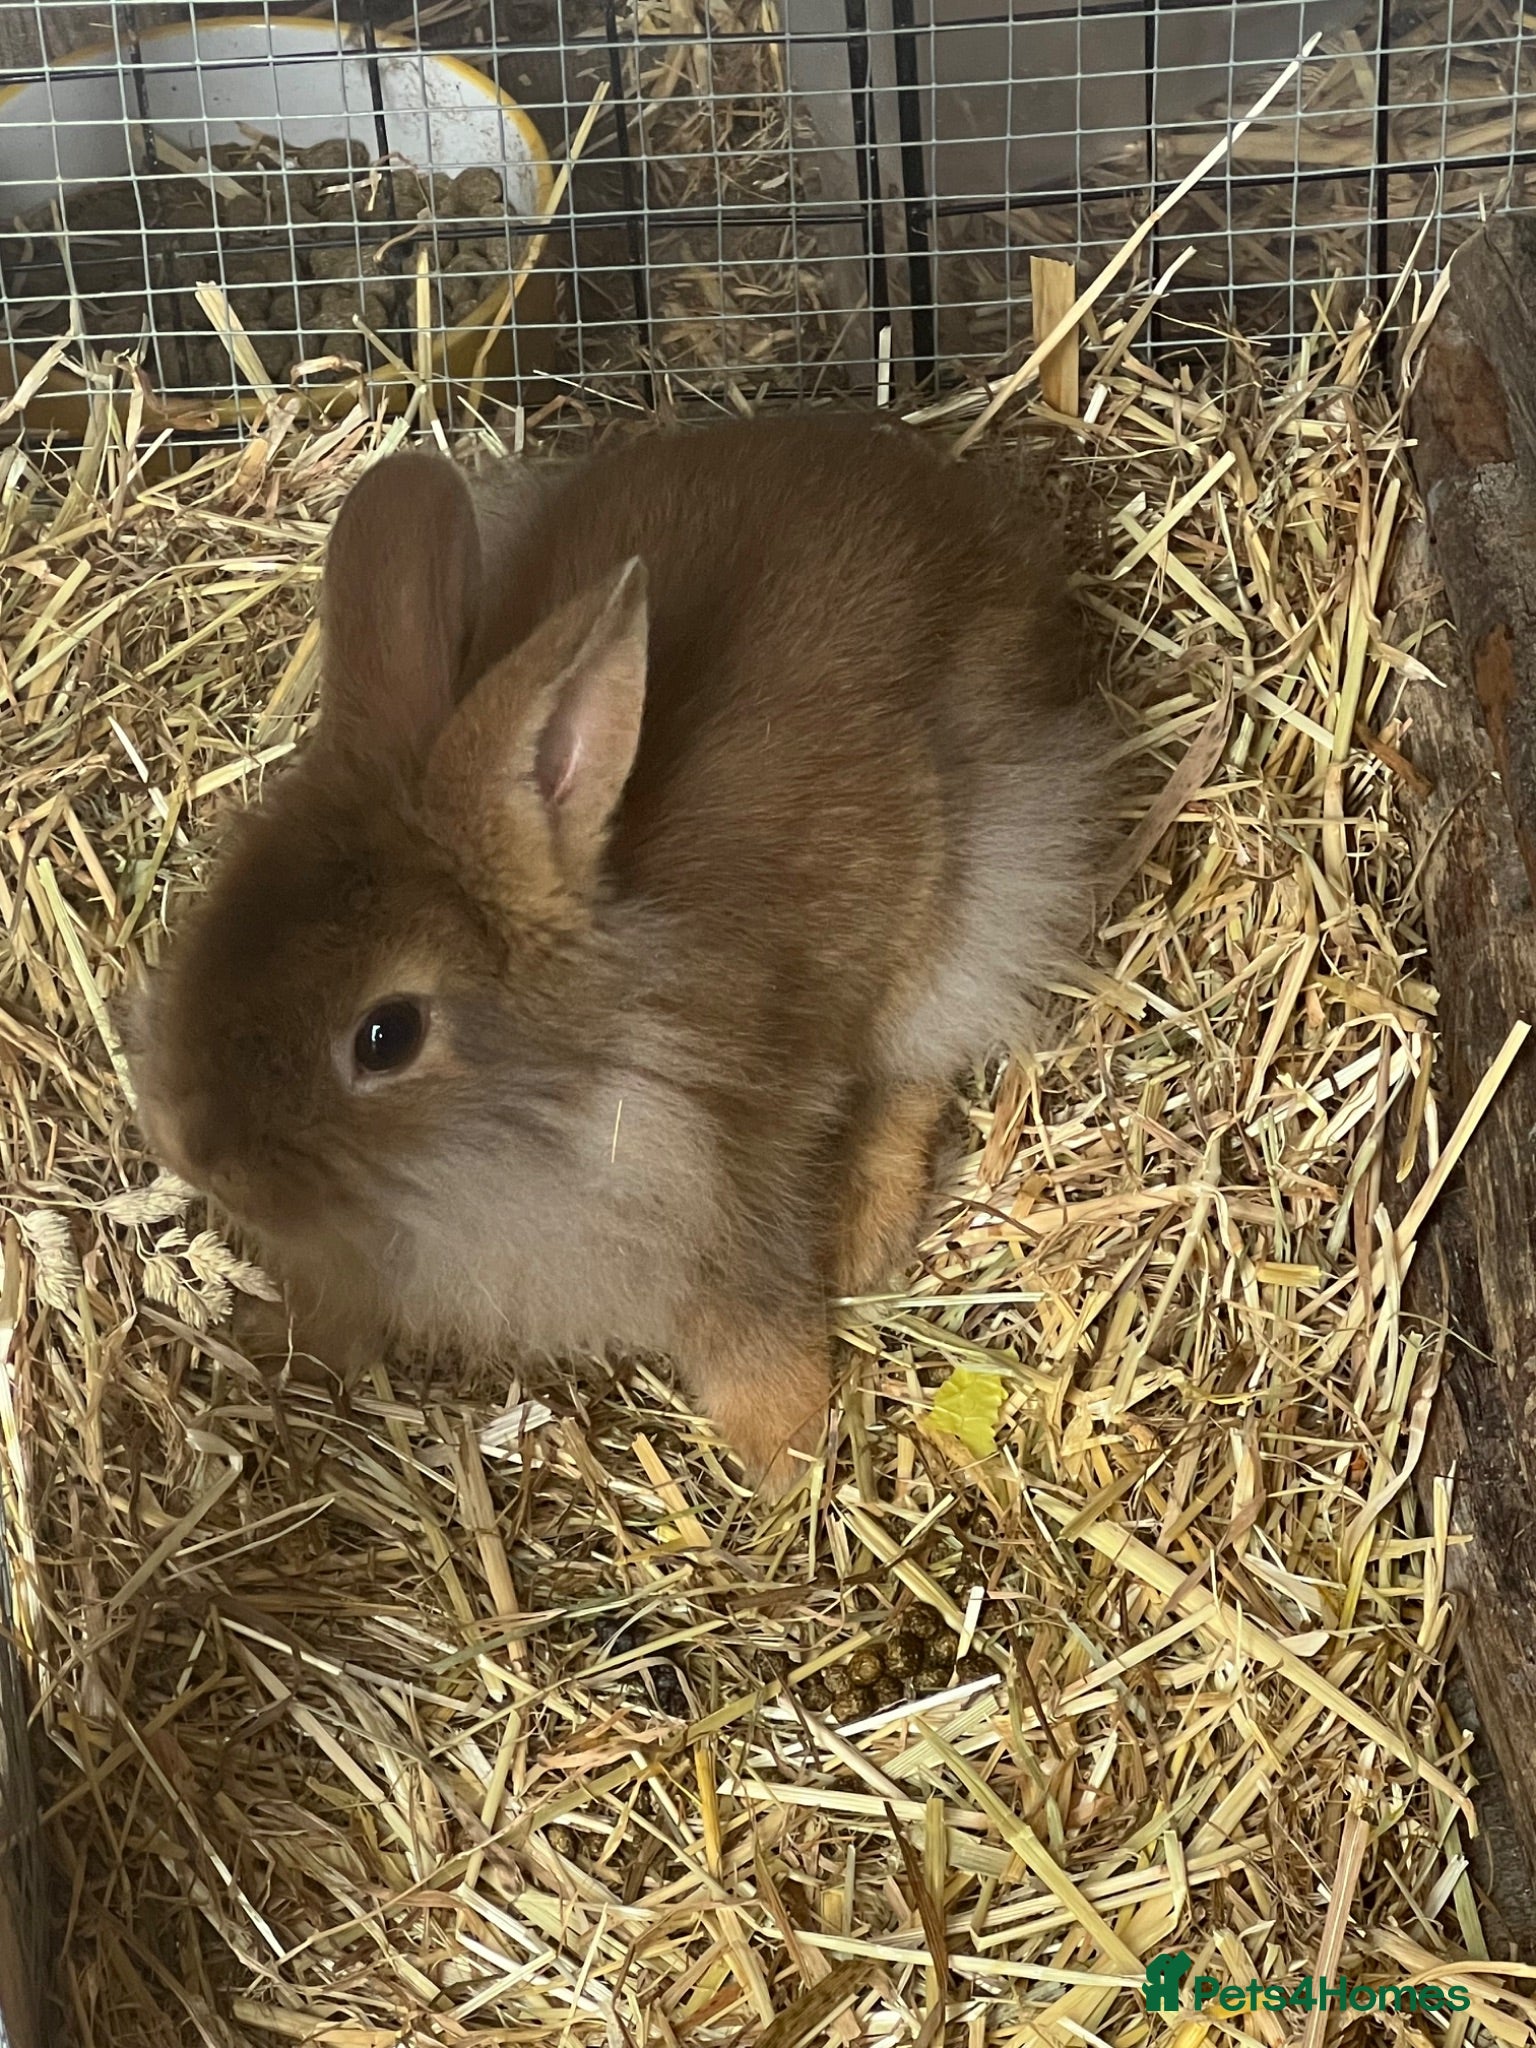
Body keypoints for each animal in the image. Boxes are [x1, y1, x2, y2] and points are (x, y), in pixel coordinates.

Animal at [125, 414, 1108, 1493]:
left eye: (386, 1037)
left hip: (964, 917)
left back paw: (863, 1238)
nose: (193, 1150)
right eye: (211, 916)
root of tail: (984, 521)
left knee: (917, 1070)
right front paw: (272, 1344)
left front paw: (789, 1457)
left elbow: (749, 1328)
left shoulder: (726, 1192)